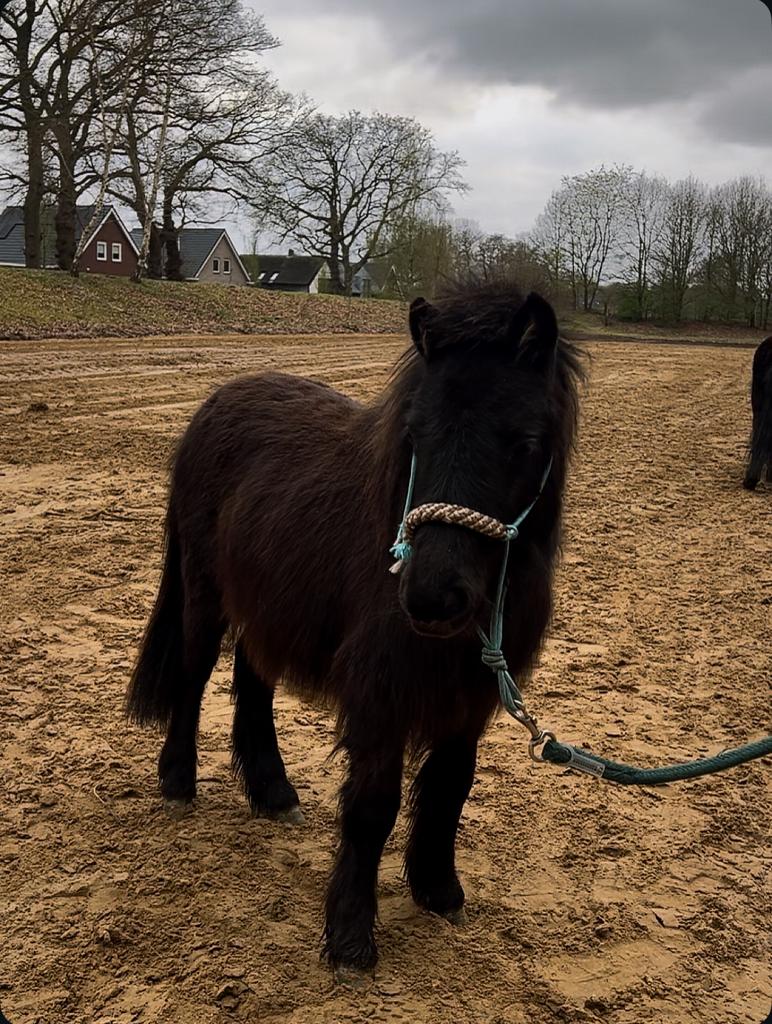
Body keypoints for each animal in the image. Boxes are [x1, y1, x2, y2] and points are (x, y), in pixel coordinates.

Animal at [126, 281, 584, 976]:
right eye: (416, 433)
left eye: (525, 442)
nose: (430, 597)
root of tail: (217, 402)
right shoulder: (382, 692)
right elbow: (373, 805)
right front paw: (349, 937)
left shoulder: (471, 694)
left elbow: (451, 786)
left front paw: (438, 891)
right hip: (205, 595)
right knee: (193, 676)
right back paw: (178, 783)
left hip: (269, 603)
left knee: (252, 683)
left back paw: (274, 793)